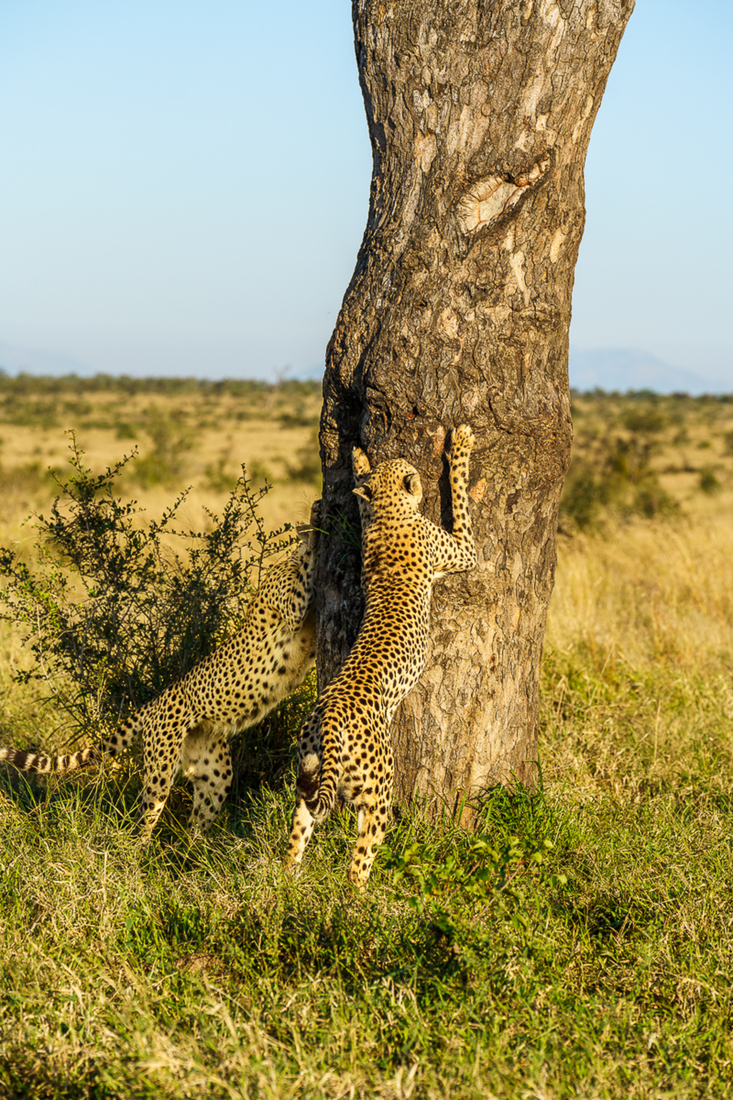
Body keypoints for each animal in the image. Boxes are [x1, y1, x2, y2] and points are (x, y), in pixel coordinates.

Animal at [0, 499, 321, 839]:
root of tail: (156, 700)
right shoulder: (294, 607)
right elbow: (308, 566)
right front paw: (316, 522)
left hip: (215, 771)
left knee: (199, 817)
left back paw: (198, 850)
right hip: (161, 767)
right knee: (144, 820)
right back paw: (140, 851)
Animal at [285, 424, 477, 889]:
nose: (411, 466)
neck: (389, 514)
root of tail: (331, 715)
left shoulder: (366, 515)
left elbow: (358, 492)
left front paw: (359, 457)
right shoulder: (464, 550)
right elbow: (460, 496)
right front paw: (460, 446)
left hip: (308, 775)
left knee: (297, 836)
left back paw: (287, 885)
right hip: (379, 791)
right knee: (358, 864)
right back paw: (364, 900)